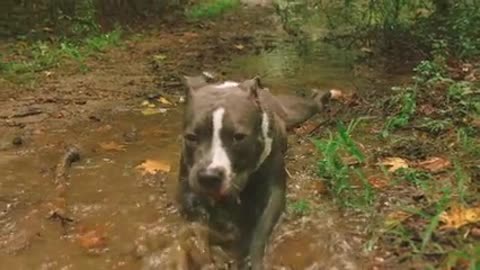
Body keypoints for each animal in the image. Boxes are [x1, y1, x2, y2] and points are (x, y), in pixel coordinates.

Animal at [176, 75, 330, 268]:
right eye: (191, 137)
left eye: (239, 137)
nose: (209, 176)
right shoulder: (186, 185)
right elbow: (196, 217)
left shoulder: (274, 194)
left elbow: (259, 232)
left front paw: (250, 258)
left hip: (295, 111)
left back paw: (322, 96)